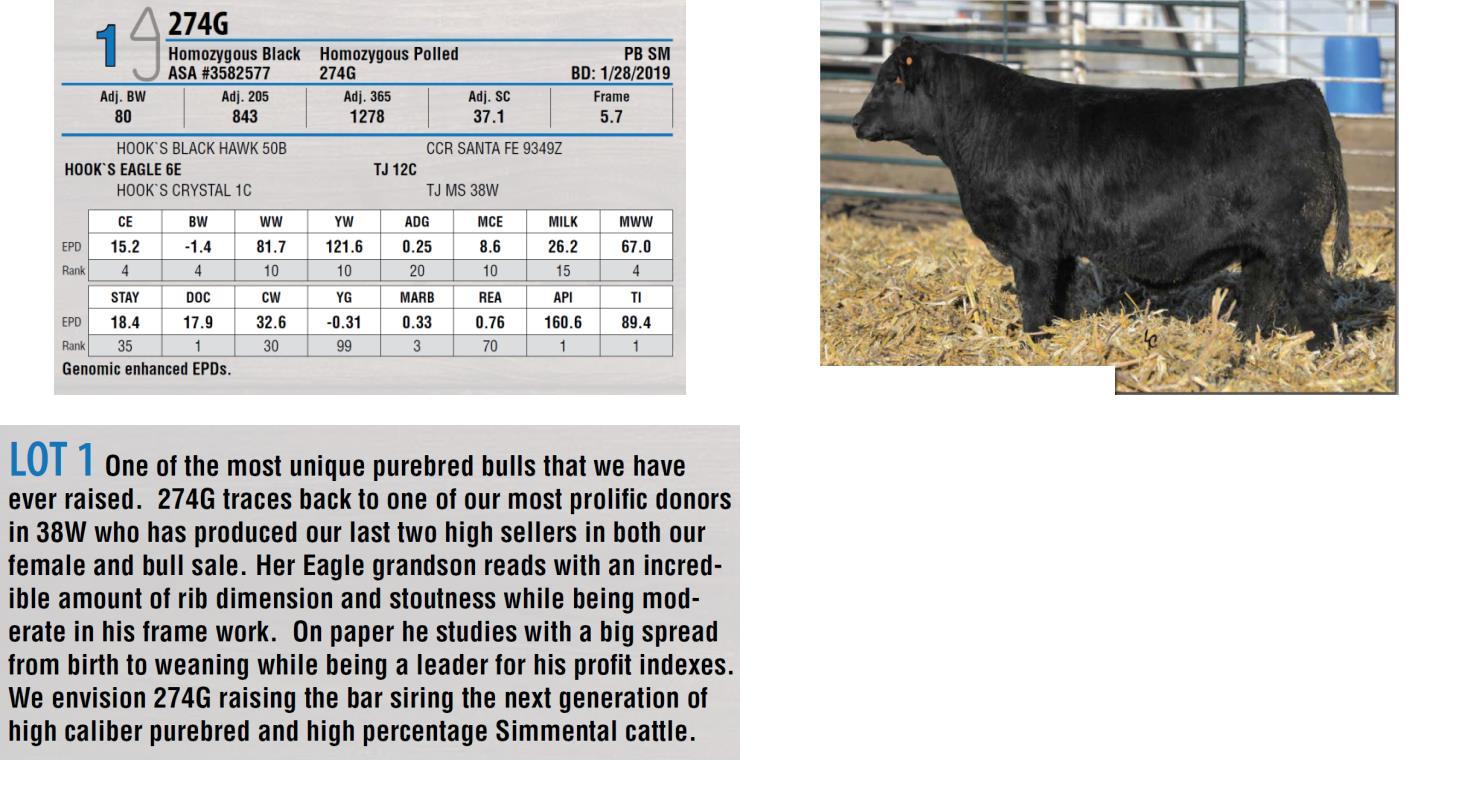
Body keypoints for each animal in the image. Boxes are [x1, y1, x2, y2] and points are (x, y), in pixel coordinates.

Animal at [851, 37, 1350, 349]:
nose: (855, 121)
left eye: (891, 80)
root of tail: (1299, 88)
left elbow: (1034, 297)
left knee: (1314, 298)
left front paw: (1030, 342)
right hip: (1262, 247)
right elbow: (1057, 295)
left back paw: (1319, 353)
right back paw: (1244, 343)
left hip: (1297, 242)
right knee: (1260, 296)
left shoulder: (1031, 241)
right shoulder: (1059, 246)